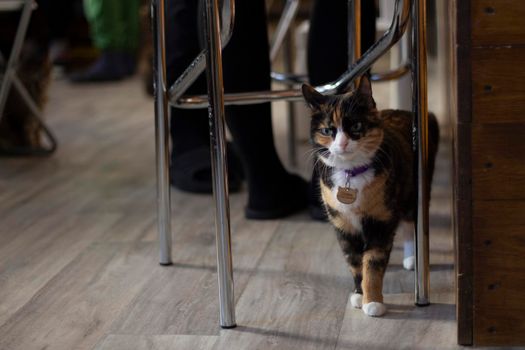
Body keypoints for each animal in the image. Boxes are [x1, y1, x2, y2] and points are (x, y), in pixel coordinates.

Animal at [298, 76, 438, 318]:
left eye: (356, 126)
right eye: (327, 130)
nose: (342, 143)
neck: (351, 173)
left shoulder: (380, 220)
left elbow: (373, 261)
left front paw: (373, 302)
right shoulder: (342, 224)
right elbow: (354, 261)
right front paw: (359, 294)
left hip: (413, 191)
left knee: (410, 222)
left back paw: (411, 257)